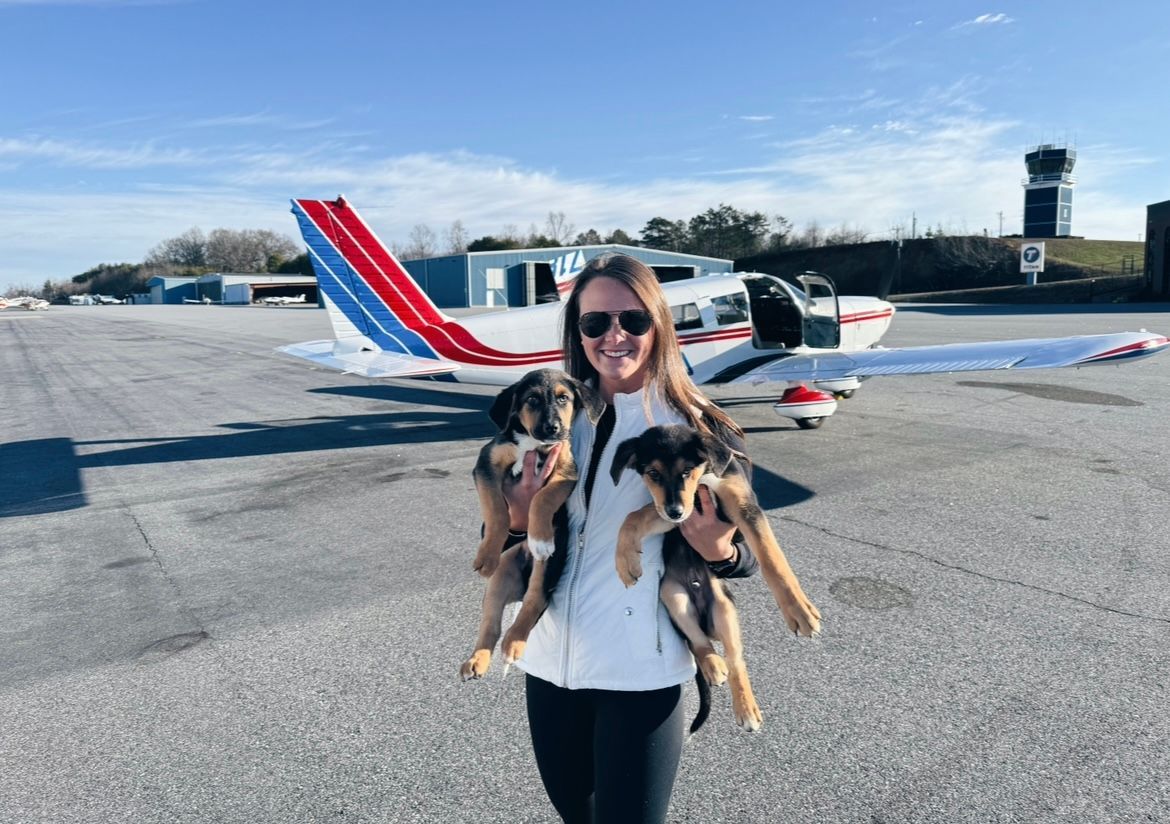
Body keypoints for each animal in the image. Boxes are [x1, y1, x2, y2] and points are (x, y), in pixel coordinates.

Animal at [613, 426, 823, 725]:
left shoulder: (741, 505)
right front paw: (625, 562)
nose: (675, 512)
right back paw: (713, 666)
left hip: (724, 608)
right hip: (673, 595)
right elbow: (634, 517)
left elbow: (771, 557)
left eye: (687, 470)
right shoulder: (673, 510)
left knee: (735, 659)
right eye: (653, 473)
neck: (706, 475)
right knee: (700, 643)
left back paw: (746, 708)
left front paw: (799, 610)